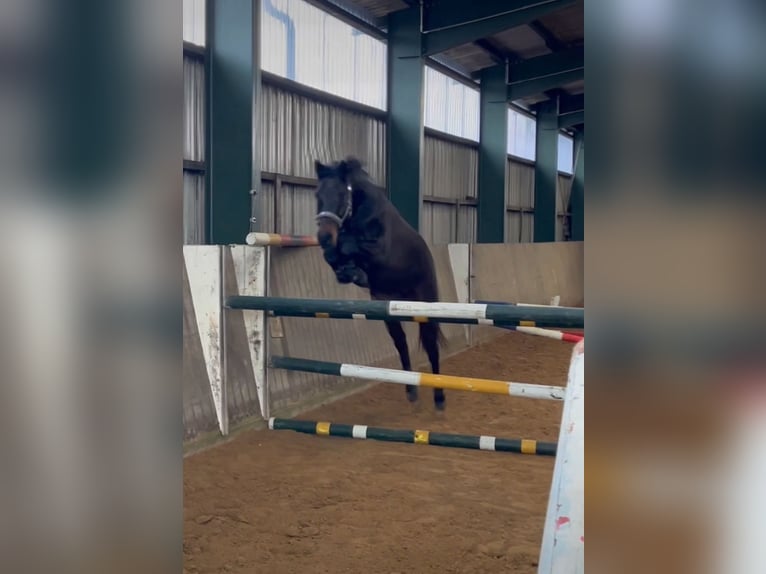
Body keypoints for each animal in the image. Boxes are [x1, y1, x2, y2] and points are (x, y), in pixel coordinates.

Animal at [316, 156, 448, 410]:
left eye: (341, 195)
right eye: (318, 195)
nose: (323, 237)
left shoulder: (379, 250)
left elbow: (349, 245)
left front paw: (353, 269)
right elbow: (333, 255)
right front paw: (347, 272)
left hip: (425, 306)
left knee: (430, 345)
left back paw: (439, 398)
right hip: (389, 310)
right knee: (402, 344)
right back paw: (411, 391)